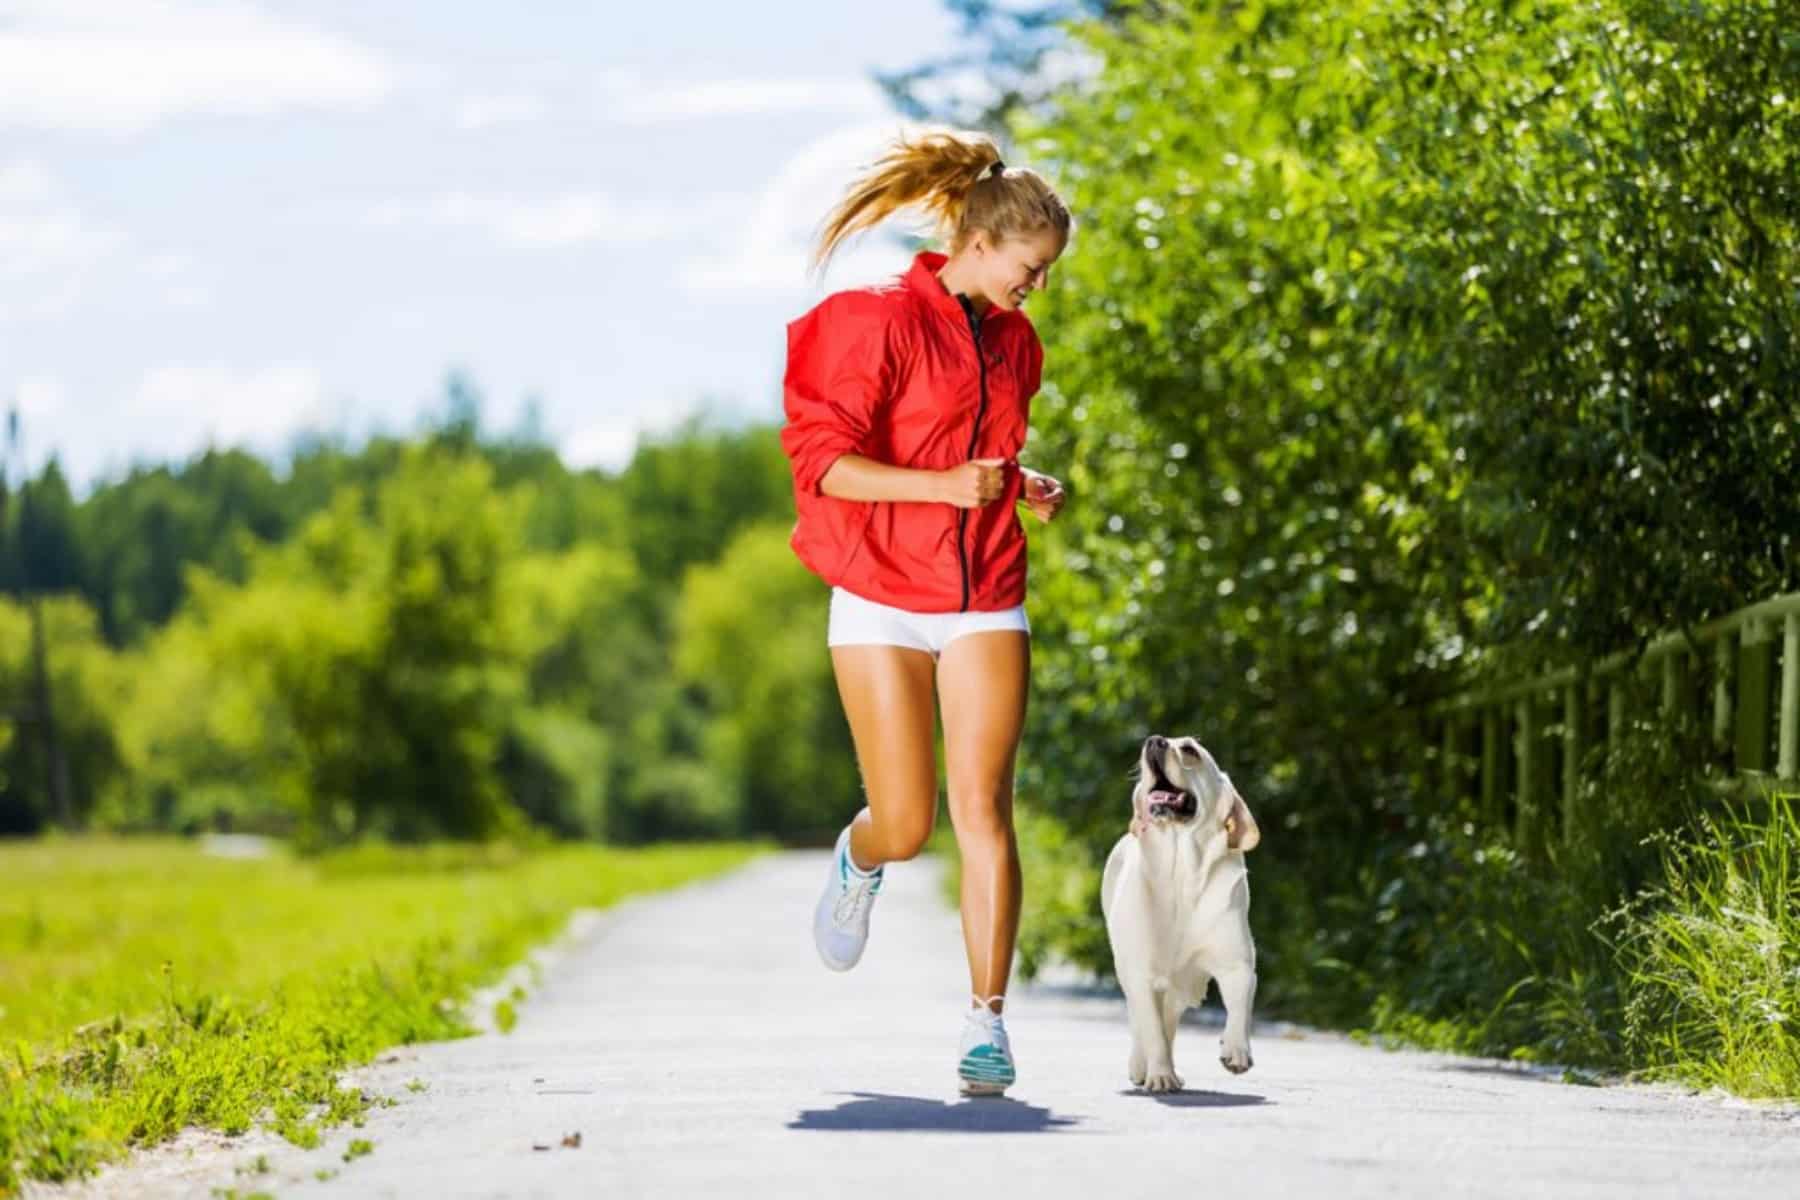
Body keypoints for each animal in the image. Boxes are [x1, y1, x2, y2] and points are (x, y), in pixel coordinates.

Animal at [1101, 726, 1260, 1093]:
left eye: (1189, 750)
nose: (1154, 741)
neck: (1182, 869)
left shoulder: (1238, 964)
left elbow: (1239, 1007)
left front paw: (1236, 1049)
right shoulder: (1141, 974)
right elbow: (1152, 1031)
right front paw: (1159, 1074)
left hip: (1182, 988)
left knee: (1169, 1021)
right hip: (1130, 971)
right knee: (1144, 1024)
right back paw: (1143, 1066)